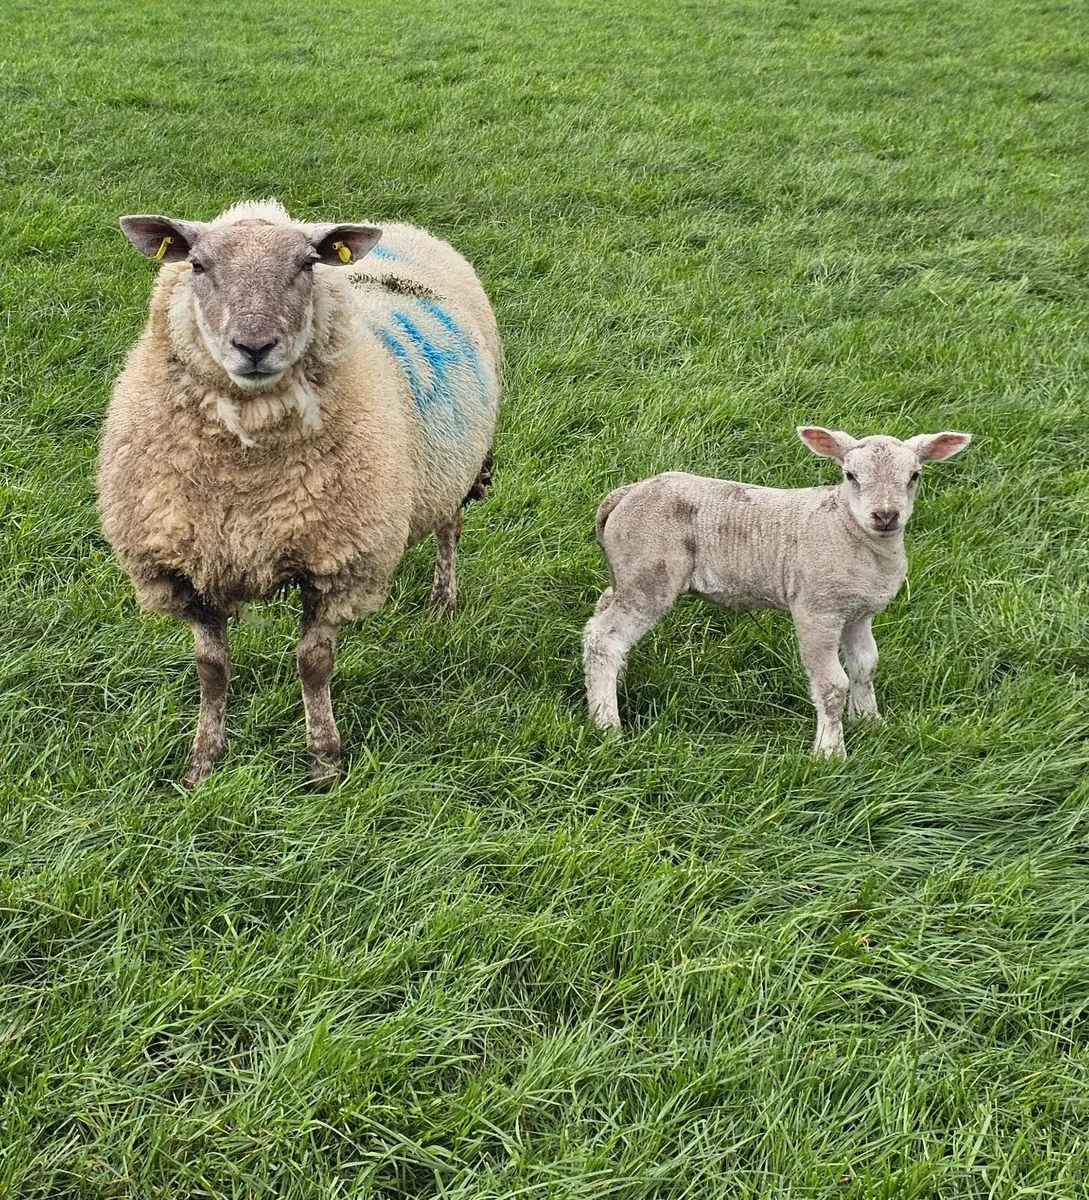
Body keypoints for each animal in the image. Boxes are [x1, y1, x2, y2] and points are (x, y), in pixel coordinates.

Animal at [97, 199, 500, 785]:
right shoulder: (186, 567)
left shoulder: (339, 564)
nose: (254, 347)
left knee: (450, 528)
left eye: (308, 264)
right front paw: (203, 763)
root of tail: (408, 229)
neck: (245, 475)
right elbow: (211, 669)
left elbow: (313, 664)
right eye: (196, 264)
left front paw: (324, 763)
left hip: (458, 466)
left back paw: (441, 602)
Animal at [582, 426, 971, 758]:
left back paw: (611, 686)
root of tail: (625, 494)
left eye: (914, 476)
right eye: (851, 475)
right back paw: (608, 726)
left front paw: (871, 721)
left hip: (628, 570)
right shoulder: (817, 609)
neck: (848, 529)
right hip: (650, 571)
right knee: (605, 637)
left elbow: (866, 666)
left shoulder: (859, 613)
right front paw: (830, 753)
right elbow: (833, 685)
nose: (886, 516)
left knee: (602, 613)